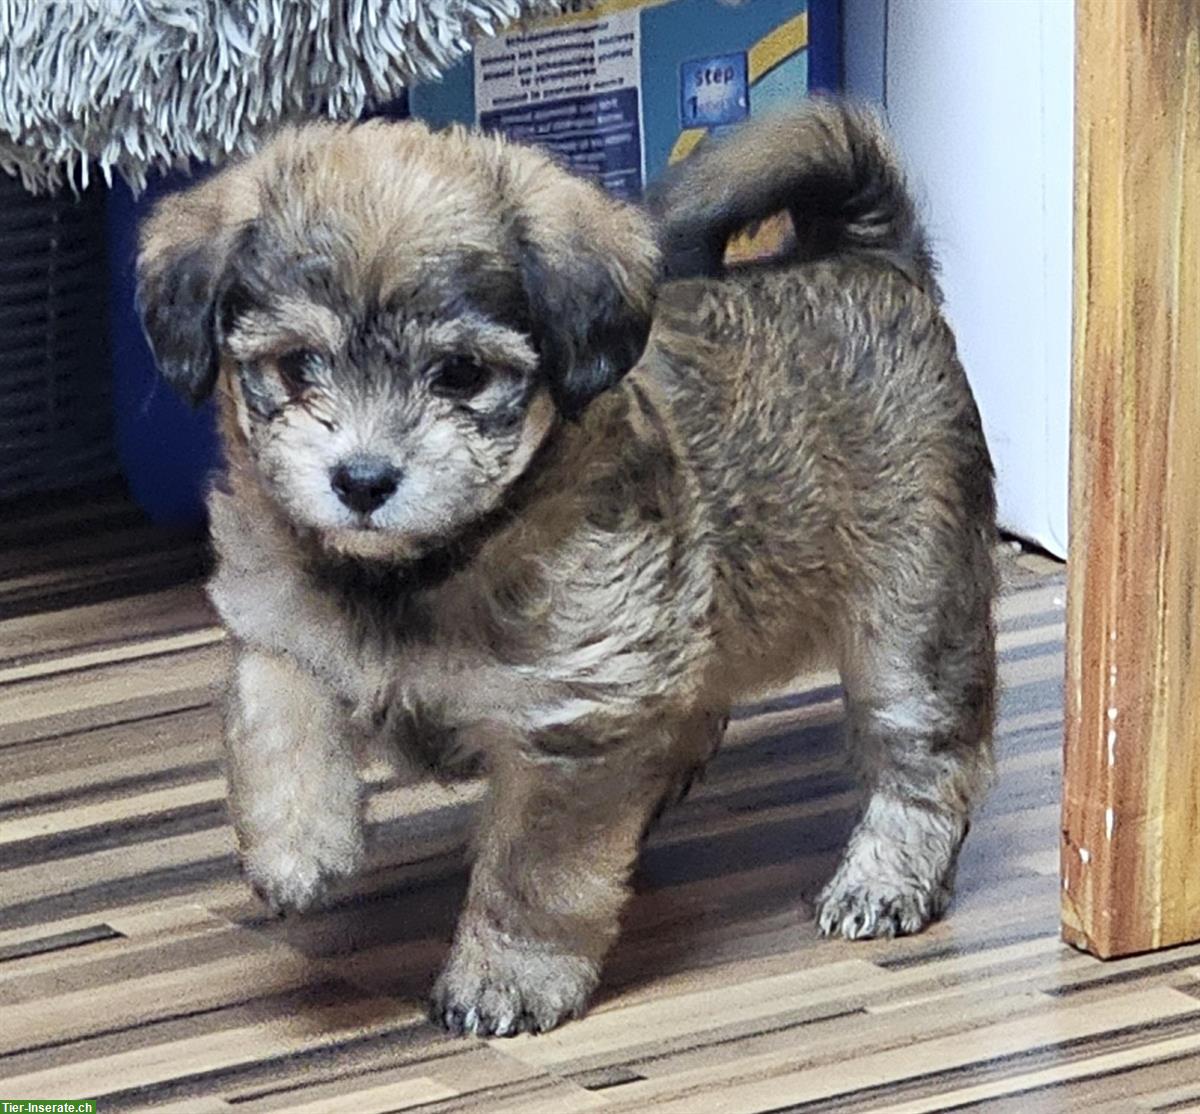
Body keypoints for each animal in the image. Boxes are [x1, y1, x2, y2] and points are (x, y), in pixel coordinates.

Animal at [136, 96, 998, 1037]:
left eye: (461, 375)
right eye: (296, 366)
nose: (361, 482)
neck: (424, 568)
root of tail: (871, 259)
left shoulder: (574, 723)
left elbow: (532, 873)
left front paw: (507, 975)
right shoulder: (274, 622)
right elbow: (277, 721)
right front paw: (297, 846)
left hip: (911, 624)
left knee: (927, 761)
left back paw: (885, 877)